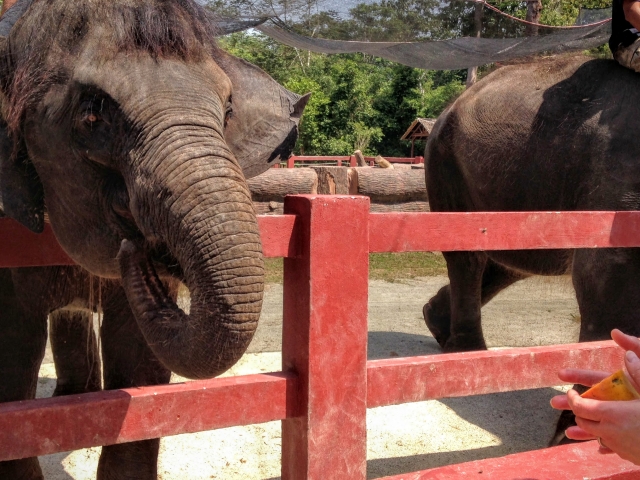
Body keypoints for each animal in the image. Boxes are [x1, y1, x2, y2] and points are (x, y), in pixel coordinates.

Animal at [422, 54, 640, 444]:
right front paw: (574, 439)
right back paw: (467, 353)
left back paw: (436, 322)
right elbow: (605, 280)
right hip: (446, 165)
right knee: (468, 254)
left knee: (510, 262)